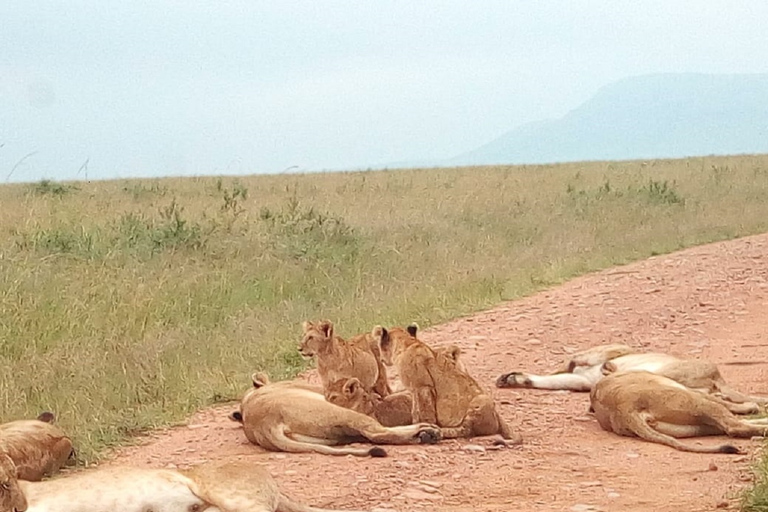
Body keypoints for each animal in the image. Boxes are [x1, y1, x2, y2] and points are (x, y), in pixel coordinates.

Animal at [228, 372, 440, 456]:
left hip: (332, 436)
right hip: (339, 413)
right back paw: (427, 431)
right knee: (376, 433)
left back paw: (425, 434)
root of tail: (265, 425)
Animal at [374, 326, 520, 442]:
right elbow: (416, 410)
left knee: (466, 430)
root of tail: (498, 417)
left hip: (480, 400)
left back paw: (441, 432)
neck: (407, 343)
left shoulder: (422, 387)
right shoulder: (415, 390)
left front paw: (426, 428)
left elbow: (423, 411)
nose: (381, 359)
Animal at [496, 342, 764, 410]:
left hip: (663, 371)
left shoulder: (607, 352)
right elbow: (551, 378)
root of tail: (718, 376)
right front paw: (512, 379)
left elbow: (569, 362)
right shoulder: (582, 379)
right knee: (711, 396)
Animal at [588, 370, 768, 454]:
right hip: (692, 401)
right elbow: (728, 404)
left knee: (732, 426)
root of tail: (623, 409)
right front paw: (751, 406)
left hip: (693, 426)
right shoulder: (695, 393)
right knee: (734, 426)